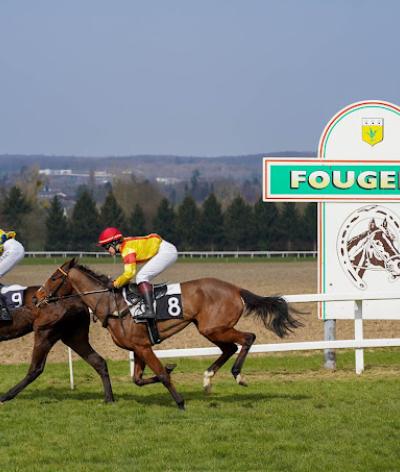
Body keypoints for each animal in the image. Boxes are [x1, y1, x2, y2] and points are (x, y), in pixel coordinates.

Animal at [36, 258, 302, 410]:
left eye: (54, 277)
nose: (38, 296)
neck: (113, 305)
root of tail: (235, 288)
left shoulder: (143, 347)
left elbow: (161, 375)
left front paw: (180, 402)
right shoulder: (138, 348)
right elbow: (139, 379)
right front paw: (172, 369)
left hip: (214, 328)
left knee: (247, 338)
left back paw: (238, 375)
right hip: (210, 329)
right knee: (230, 347)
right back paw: (207, 379)